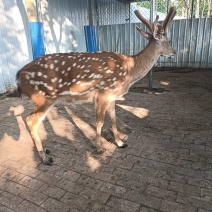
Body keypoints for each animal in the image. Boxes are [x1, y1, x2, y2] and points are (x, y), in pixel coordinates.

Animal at [16, 7, 176, 166]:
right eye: (169, 40)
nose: (174, 53)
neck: (130, 70)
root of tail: (18, 76)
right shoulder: (103, 94)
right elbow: (99, 122)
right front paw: (99, 148)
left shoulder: (112, 96)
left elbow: (113, 119)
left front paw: (120, 143)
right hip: (43, 97)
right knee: (30, 120)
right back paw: (45, 157)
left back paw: (46, 151)